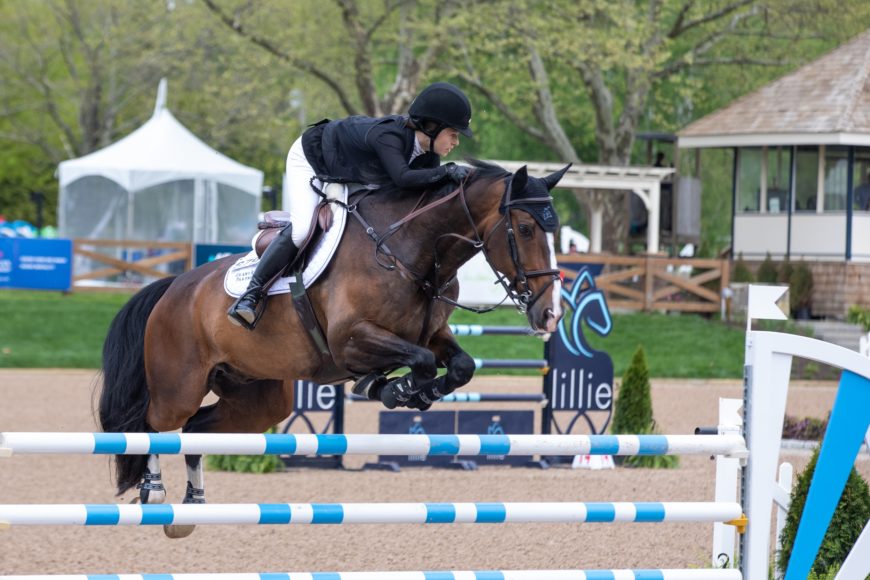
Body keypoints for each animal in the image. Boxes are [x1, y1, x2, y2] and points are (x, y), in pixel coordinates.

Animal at [99, 160, 572, 540]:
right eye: (525, 229)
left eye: (556, 232)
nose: (550, 314)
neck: (412, 251)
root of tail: (173, 287)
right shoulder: (351, 339)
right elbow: (418, 362)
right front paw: (395, 390)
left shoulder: (431, 333)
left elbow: (460, 366)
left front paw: (409, 391)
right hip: (180, 383)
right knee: (157, 424)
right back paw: (155, 493)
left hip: (257, 399)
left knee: (195, 430)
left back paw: (191, 508)